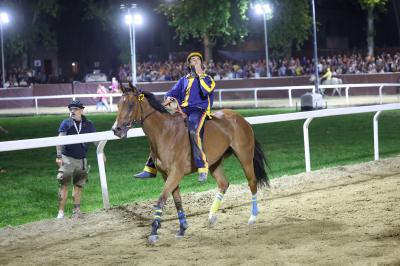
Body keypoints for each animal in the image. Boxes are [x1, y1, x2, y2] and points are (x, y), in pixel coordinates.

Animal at [112, 83, 268, 243]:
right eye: (118, 105)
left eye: (131, 105)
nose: (116, 129)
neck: (165, 132)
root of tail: (241, 119)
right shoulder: (167, 175)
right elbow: (177, 201)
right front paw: (182, 227)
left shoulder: (176, 173)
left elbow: (161, 199)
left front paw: (154, 231)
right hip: (215, 163)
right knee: (224, 184)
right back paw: (211, 216)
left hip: (245, 157)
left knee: (252, 183)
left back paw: (253, 217)